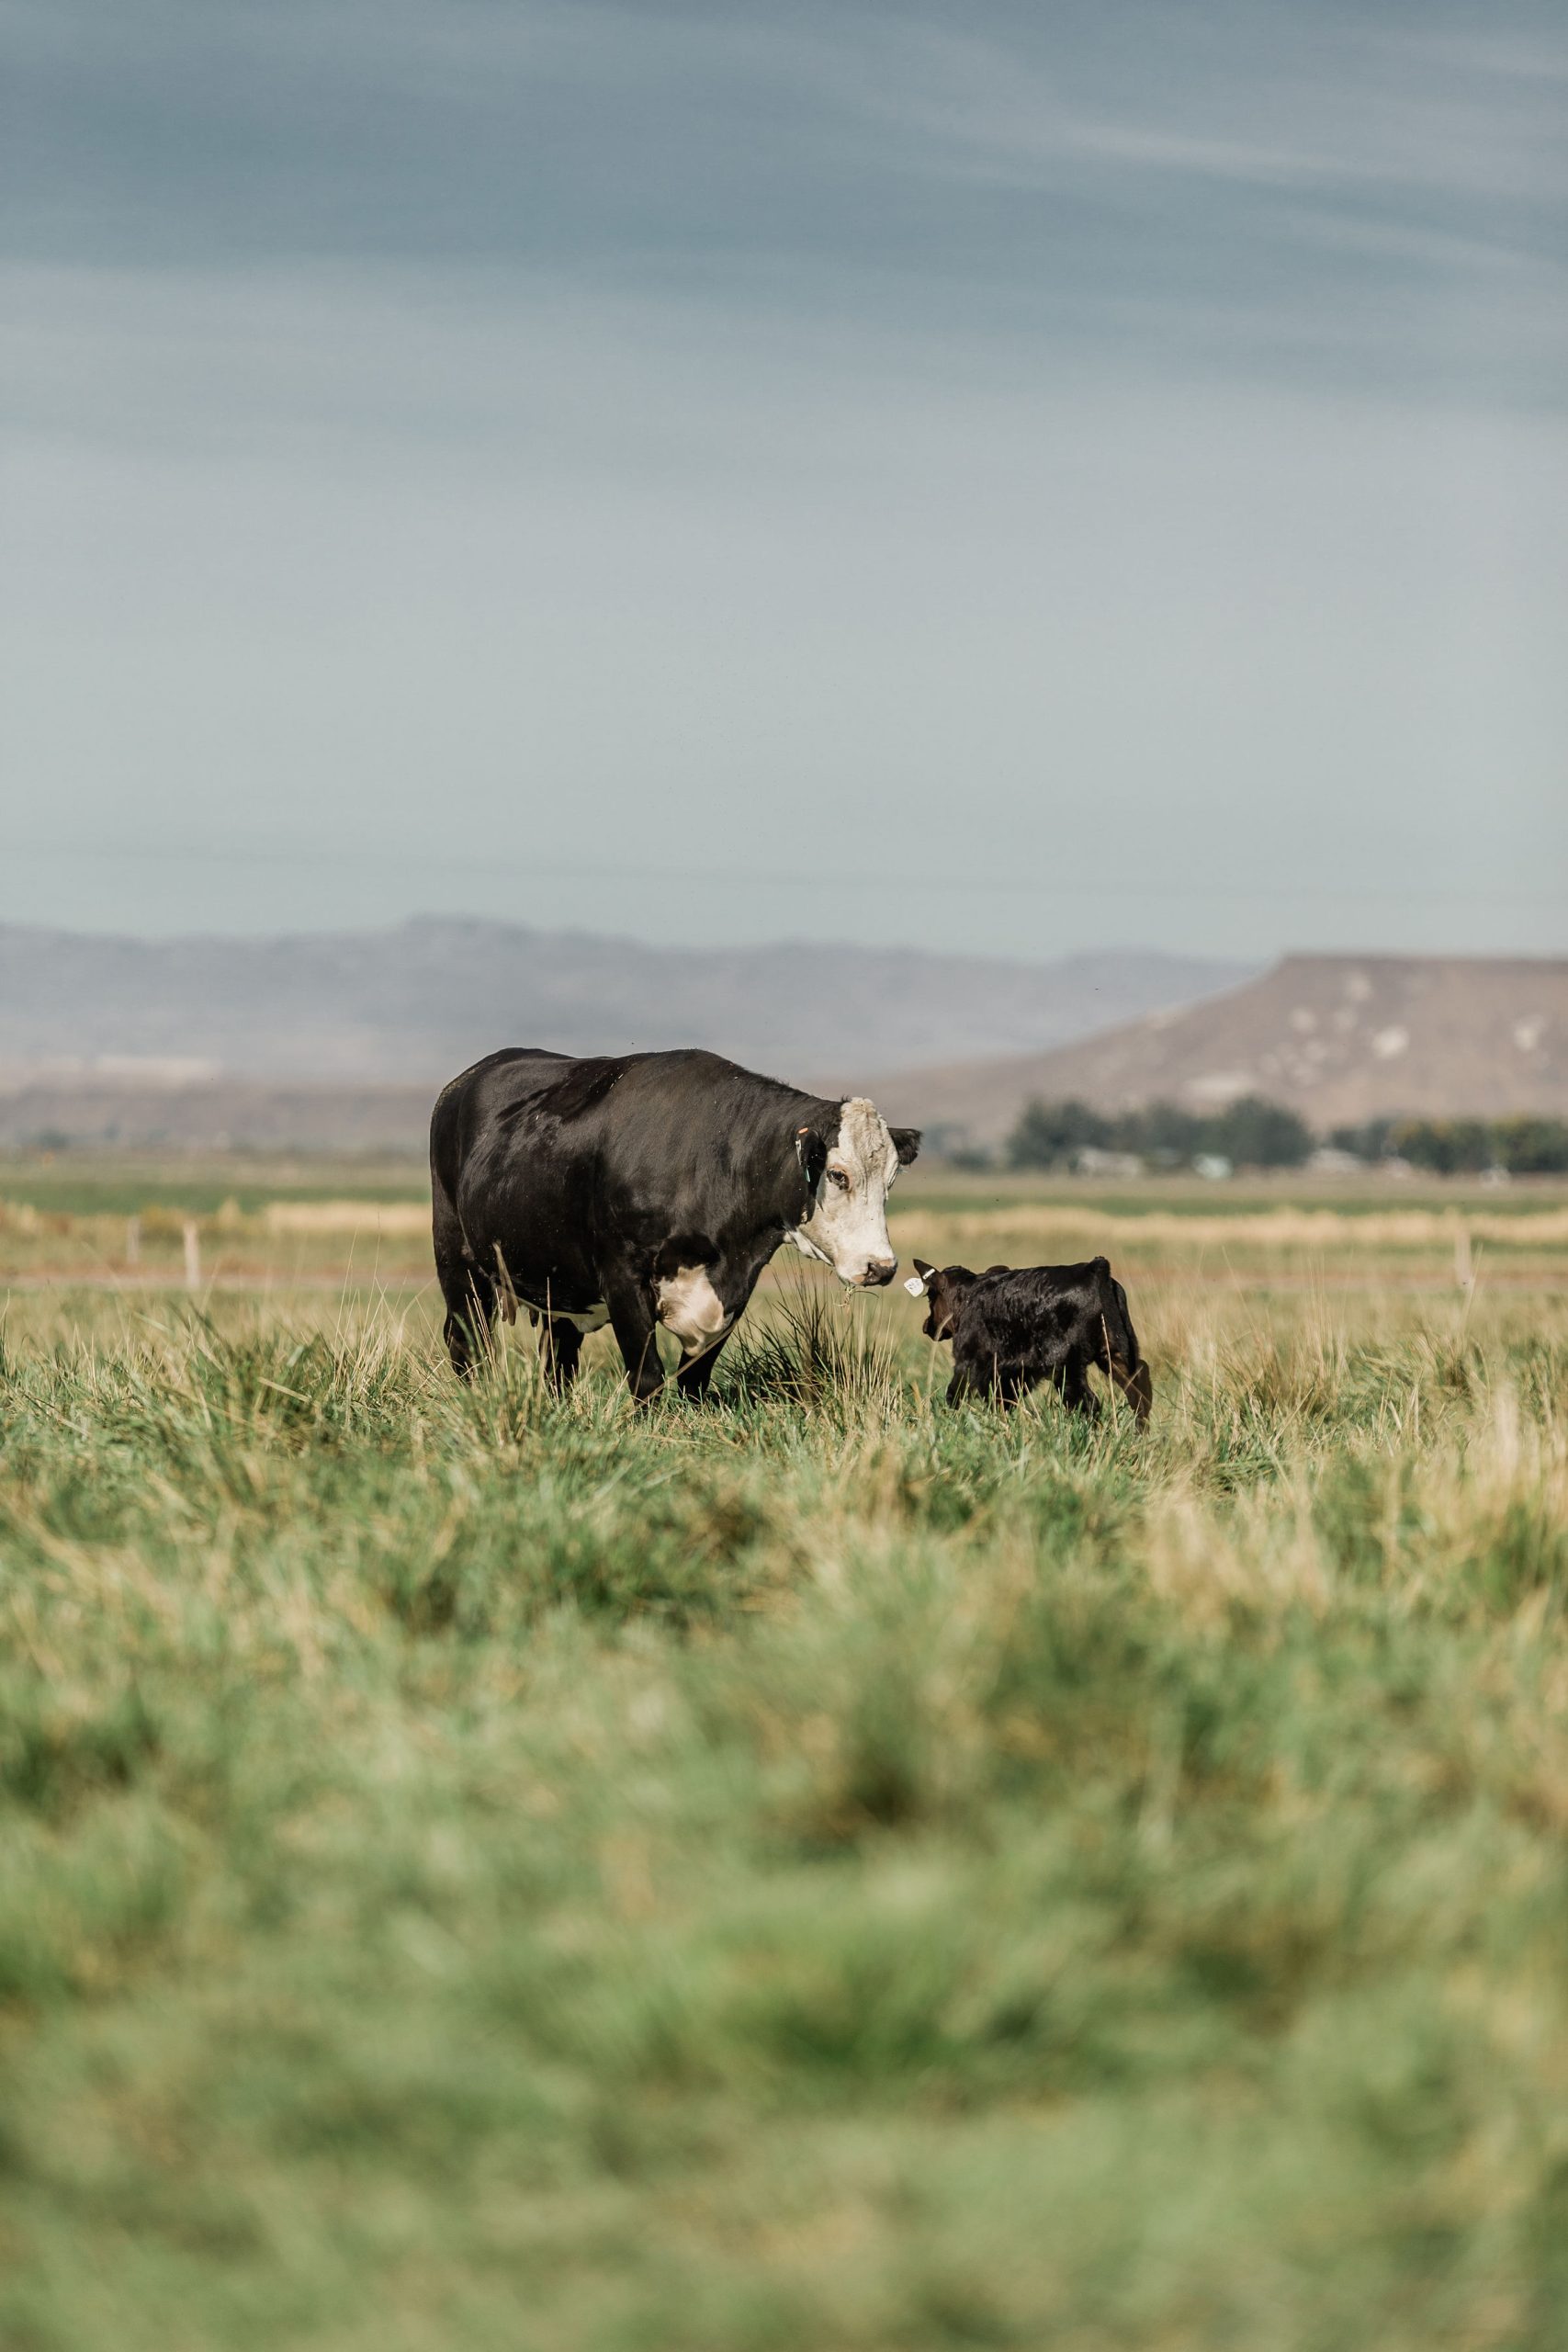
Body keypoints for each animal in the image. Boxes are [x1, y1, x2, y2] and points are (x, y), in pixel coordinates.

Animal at [430, 1048, 921, 1392]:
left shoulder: (732, 1293)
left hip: (557, 1283)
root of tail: (465, 1080)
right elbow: (647, 1376)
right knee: (467, 1343)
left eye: (891, 1179)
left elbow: (694, 1380)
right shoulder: (622, 1277)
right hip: (457, 1260)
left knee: (558, 1362)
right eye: (838, 1175)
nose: (882, 1267)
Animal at [907, 1261, 1152, 1420]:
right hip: (1118, 1353)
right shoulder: (1013, 1372)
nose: (926, 1326)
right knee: (1138, 1393)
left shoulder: (968, 1359)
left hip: (1067, 1365)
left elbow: (955, 1394)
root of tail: (1093, 1268)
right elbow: (1002, 1402)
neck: (968, 1296)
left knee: (1086, 1401)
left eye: (930, 1296)